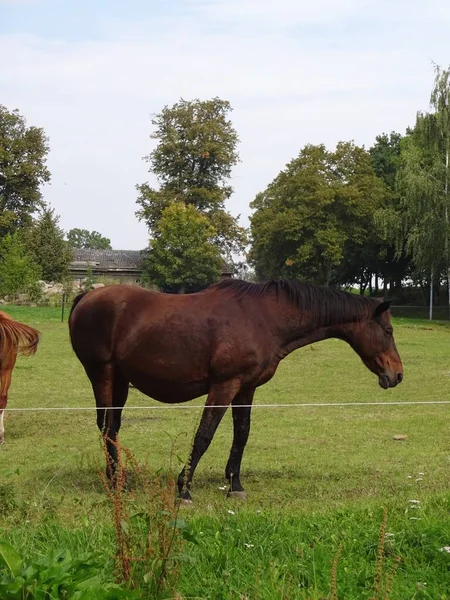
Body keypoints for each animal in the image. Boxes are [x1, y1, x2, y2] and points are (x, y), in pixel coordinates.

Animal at [70, 278, 404, 500]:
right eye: (388, 331)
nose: (397, 374)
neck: (264, 319)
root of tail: (86, 297)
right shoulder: (224, 385)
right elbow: (204, 435)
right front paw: (184, 488)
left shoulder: (246, 388)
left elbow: (241, 433)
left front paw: (235, 485)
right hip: (102, 374)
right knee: (107, 426)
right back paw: (116, 483)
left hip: (120, 380)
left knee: (112, 428)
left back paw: (117, 478)